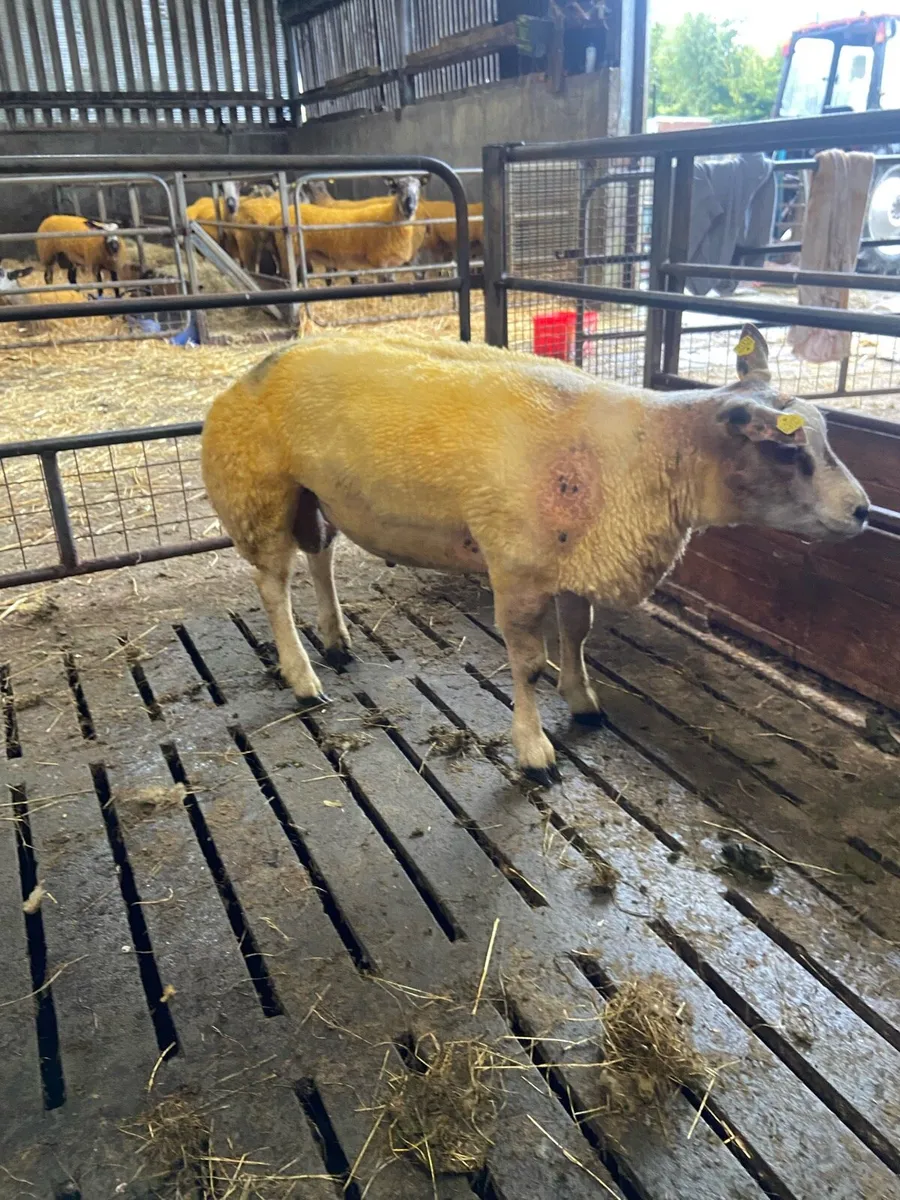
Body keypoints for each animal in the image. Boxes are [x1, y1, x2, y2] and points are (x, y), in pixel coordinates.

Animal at [201, 325, 870, 783]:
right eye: (788, 450)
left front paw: (582, 701)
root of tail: (257, 366)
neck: (646, 455)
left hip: (312, 494)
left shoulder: (577, 558)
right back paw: (302, 675)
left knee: (319, 558)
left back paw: (336, 639)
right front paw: (535, 752)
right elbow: (525, 664)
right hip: (257, 490)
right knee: (273, 584)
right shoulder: (519, 566)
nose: (864, 511)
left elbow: (577, 634)